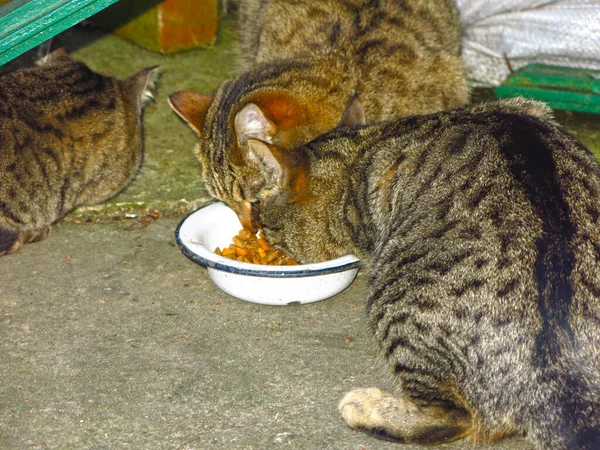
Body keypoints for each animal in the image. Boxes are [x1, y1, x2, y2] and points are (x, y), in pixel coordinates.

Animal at [232, 98, 600, 450]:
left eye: (263, 218)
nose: (257, 232)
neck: (363, 155)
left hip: (393, 300)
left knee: (455, 417)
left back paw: (368, 408)